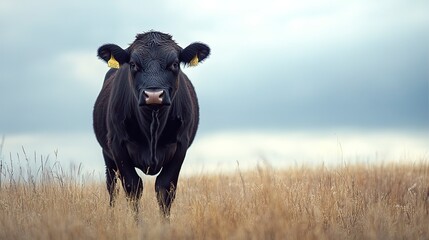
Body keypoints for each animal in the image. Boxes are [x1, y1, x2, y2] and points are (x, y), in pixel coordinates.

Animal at [93, 31, 210, 217]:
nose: (154, 95)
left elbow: (164, 189)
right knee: (112, 186)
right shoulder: (117, 145)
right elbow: (133, 187)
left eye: (174, 64)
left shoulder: (180, 146)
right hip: (107, 154)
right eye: (133, 64)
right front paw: (137, 223)